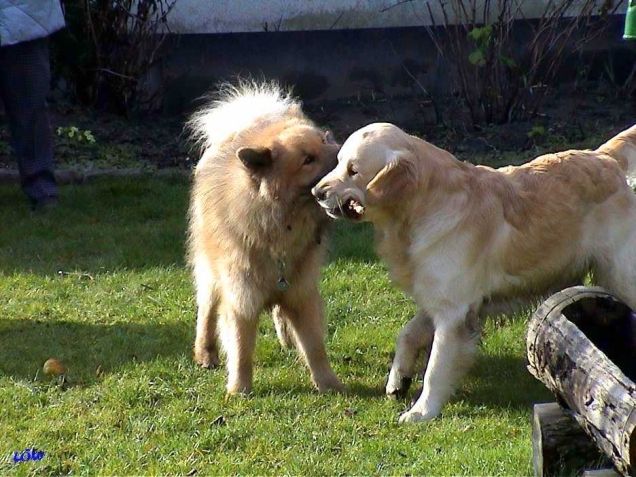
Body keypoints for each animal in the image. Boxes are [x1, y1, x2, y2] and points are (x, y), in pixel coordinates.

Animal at [186, 82, 342, 394]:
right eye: (307, 159)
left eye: (324, 140)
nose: (344, 150)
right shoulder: (241, 298)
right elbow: (241, 348)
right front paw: (239, 389)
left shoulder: (301, 293)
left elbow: (315, 347)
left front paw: (328, 383)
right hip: (211, 274)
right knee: (207, 310)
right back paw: (206, 353)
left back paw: (288, 339)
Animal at [314, 122, 636, 420]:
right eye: (338, 162)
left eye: (353, 170)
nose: (316, 192)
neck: (420, 209)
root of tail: (603, 156)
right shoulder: (439, 296)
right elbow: (407, 334)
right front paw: (398, 380)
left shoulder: (453, 311)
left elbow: (435, 367)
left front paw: (421, 412)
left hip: (619, 275)